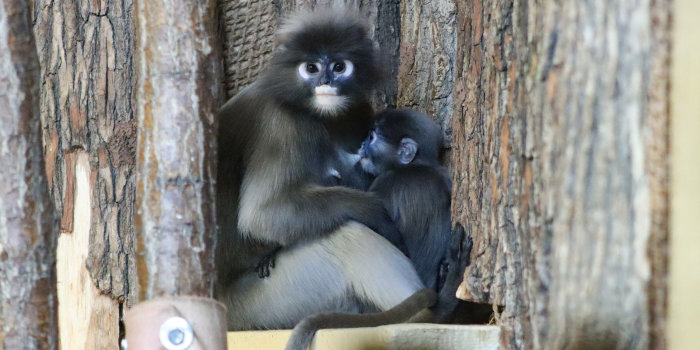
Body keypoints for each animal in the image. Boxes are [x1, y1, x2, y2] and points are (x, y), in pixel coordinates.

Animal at [215, 7, 438, 330]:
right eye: (311, 68)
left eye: (339, 66)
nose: (326, 82)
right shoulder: (283, 124)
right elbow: (262, 216)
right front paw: (375, 212)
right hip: (261, 306)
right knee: (350, 236)